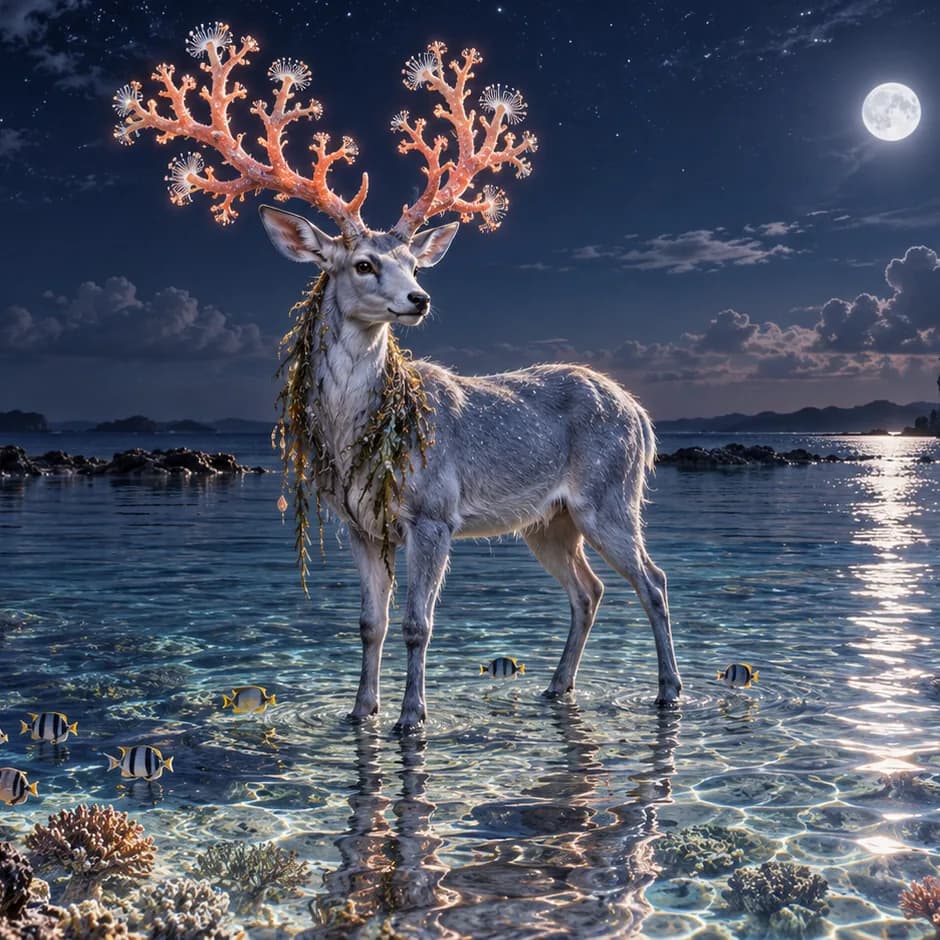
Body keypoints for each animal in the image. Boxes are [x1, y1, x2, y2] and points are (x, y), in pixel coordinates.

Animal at [114, 24, 682, 732]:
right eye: (362, 263)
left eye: (414, 261)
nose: (420, 298)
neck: (358, 434)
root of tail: (641, 415)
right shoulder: (360, 524)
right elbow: (370, 624)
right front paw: (359, 712)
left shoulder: (433, 512)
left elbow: (418, 624)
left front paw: (413, 717)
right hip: (547, 520)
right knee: (591, 589)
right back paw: (557, 687)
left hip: (609, 493)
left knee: (653, 581)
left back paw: (668, 690)